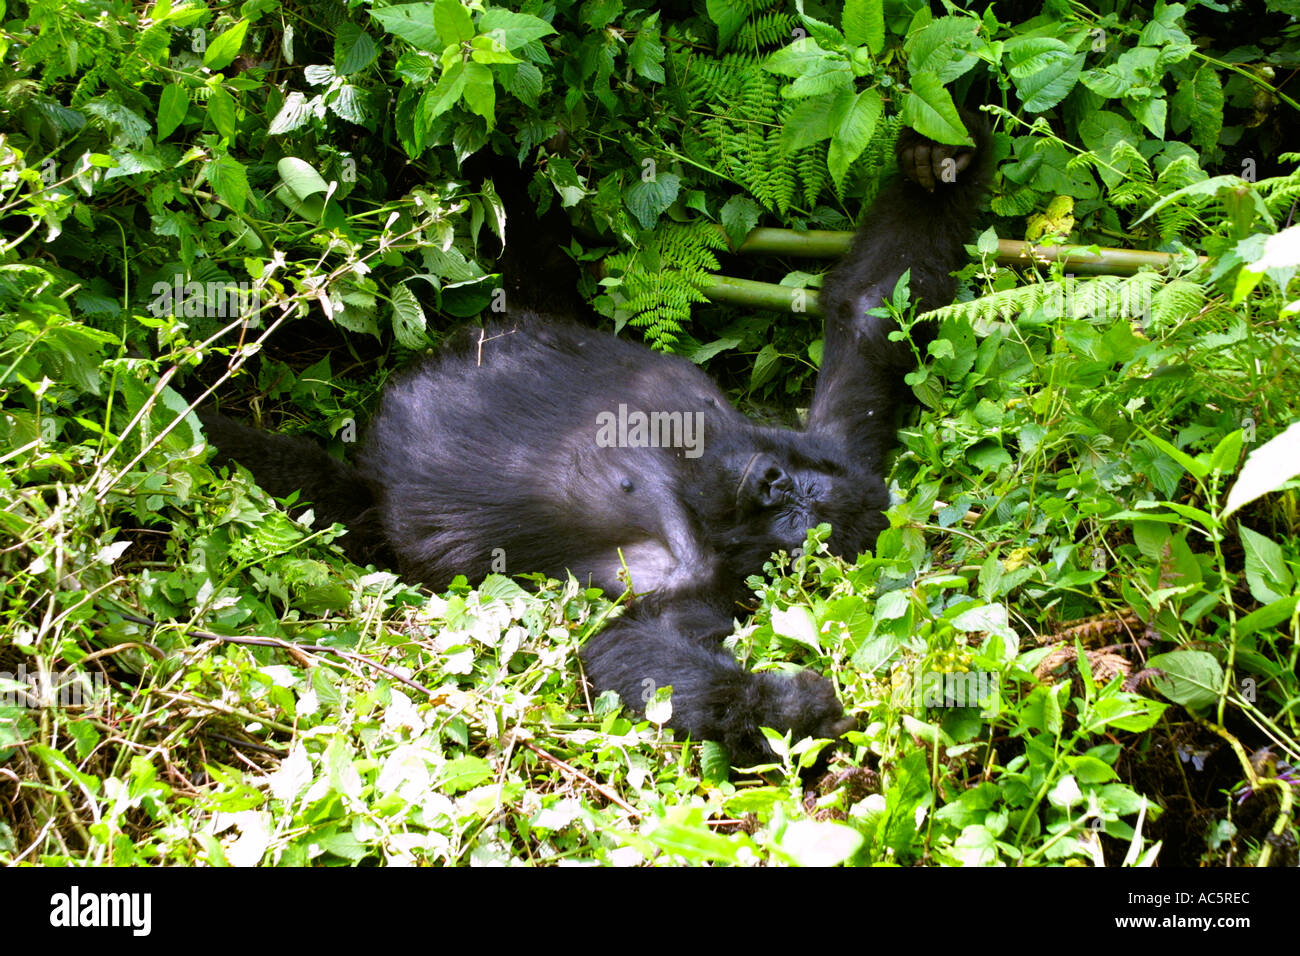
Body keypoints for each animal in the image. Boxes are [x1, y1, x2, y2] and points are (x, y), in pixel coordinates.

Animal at [208, 115, 987, 764]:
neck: (698, 478)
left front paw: (779, 709)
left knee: (299, 483)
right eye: (792, 488)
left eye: (799, 522)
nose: (771, 486)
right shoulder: (822, 439)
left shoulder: (688, 578)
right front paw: (936, 158)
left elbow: (618, 649)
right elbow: (869, 312)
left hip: (363, 504)